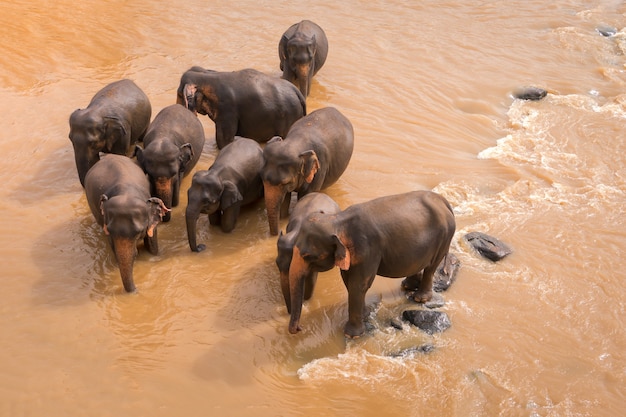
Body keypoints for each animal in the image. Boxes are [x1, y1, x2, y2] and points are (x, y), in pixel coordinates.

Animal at [84, 154, 171, 292]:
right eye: (110, 230)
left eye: (138, 232)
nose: (136, 290)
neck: (126, 193)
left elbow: (152, 244)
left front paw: (153, 254)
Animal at [176, 66, 304, 149]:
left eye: (179, 95)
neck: (207, 76)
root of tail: (298, 93)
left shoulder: (227, 110)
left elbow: (224, 140)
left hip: (290, 117)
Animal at [260, 105, 354, 236]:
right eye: (262, 178)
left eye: (284, 182)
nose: (278, 233)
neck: (295, 142)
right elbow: (285, 199)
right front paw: (283, 217)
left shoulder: (320, 167)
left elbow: (306, 196)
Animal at [286, 190, 454, 336]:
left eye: (308, 256)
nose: (300, 328)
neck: (338, 220)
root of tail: (444, 201)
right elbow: (349, 281)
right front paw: (365, 315)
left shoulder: (368, 250)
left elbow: (358, 284)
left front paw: (352, 335)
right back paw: (408, 286)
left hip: (444, 237)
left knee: (431, 267)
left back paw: (420, 298)